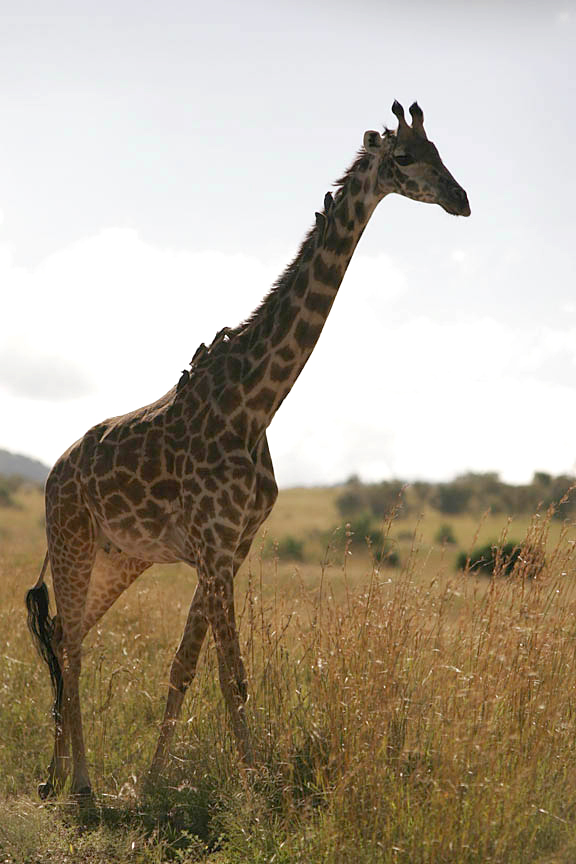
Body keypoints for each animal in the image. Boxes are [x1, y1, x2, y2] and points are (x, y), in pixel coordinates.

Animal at [26, 100, 470, 800]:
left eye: (441, 152)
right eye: (405, 157)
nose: (462, 200)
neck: (256, 403)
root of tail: (53, 474)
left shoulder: (232, 548)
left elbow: (186, 666)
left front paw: (154, 782)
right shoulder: (213, 547)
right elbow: (230, 674)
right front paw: (255, 791)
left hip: (121, 557)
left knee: (71, 635)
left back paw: (57, 774)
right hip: (72, 540)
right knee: (69, 645)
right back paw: (82, 785)